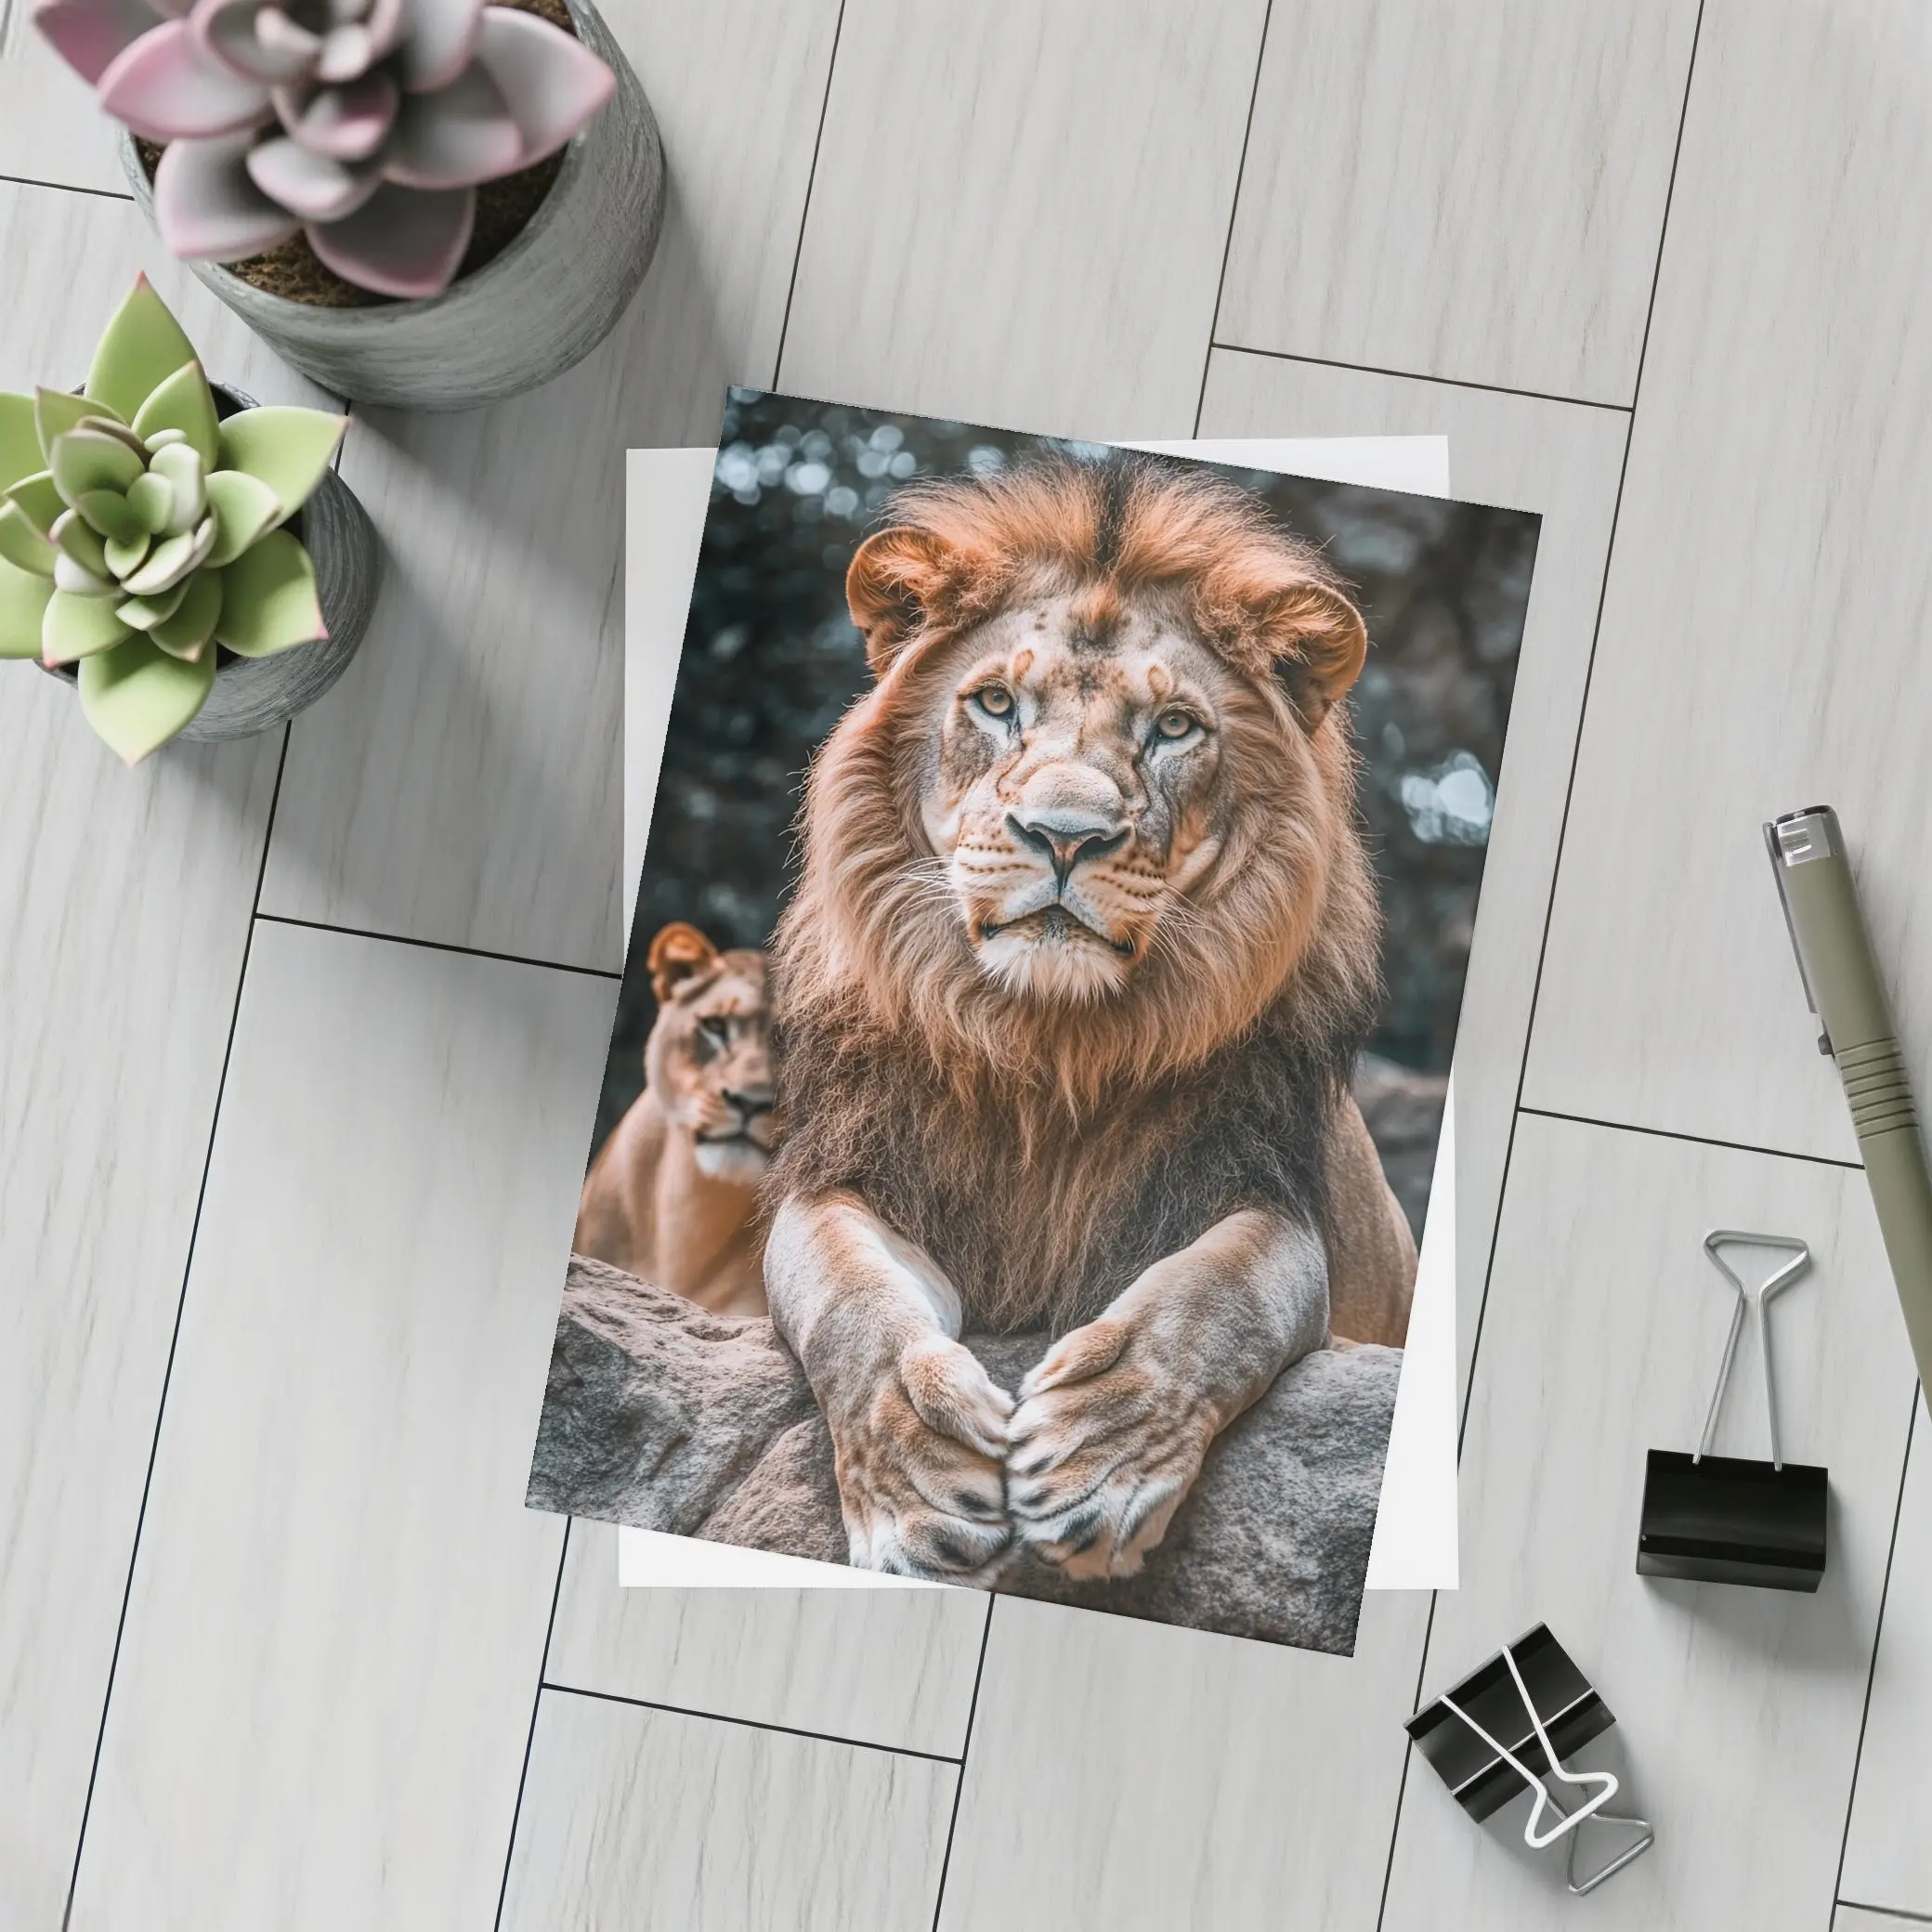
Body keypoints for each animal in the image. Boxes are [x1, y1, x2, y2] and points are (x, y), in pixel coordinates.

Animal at [762, 452, 1418, 1586]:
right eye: (995, 703)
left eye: (1173, 727)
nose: (1062, 836)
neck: (1050, 1042)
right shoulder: (844, 1172)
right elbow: (849, 1302)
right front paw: (920, 1484)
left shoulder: (1268, 1197)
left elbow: (1213, 1297)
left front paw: (1097, 1458)